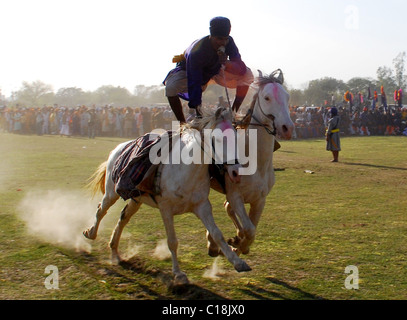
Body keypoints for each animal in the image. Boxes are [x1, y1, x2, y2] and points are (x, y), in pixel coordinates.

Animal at [83, 107, 252, 284]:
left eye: (236, 136)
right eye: (218, 139)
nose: (236, 171)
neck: (186, 170)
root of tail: (117, 149)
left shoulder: (202, 206)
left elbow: (217, 234)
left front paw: (238, 262)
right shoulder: (165, 208)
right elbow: (172, 241)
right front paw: (178, 274)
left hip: (136, 199)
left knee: (123, 218)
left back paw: (114, 252)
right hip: (111, 192)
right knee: (101, 210)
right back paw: (90, 233)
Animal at [209, 70, 294, 258]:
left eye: (287, 97)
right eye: (267, 97)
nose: (287, 128)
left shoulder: (259, 200)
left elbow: (252, 229)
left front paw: (240, 244)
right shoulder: (236, 196)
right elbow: (249, 228)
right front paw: (238, 244)